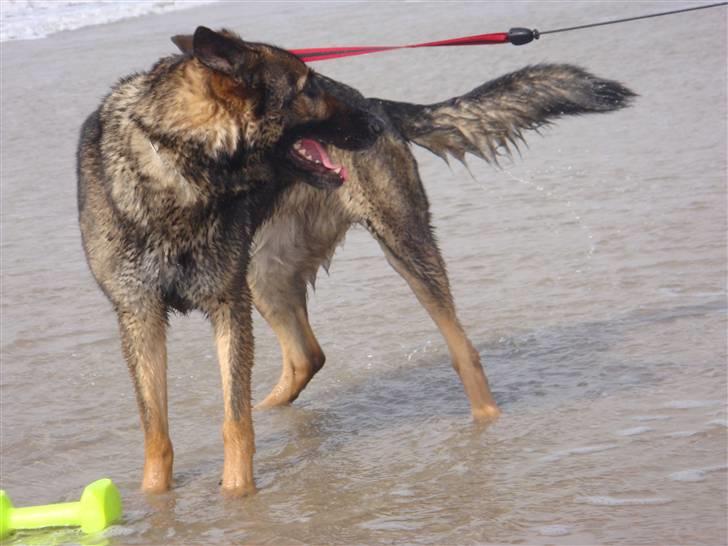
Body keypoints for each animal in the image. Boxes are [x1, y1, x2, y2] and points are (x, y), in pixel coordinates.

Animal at [77, 25, 384, 492]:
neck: (181, 171)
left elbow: (234, 421)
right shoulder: (140, 315)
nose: (378, 122)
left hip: (263, 276)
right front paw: (154, 495)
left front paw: (238, 493)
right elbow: (156, 432)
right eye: (308, 87)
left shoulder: (229, 306)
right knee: (306, 356)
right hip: (264, 277)